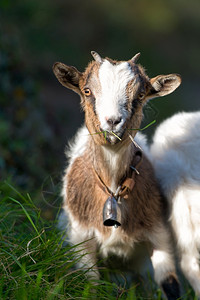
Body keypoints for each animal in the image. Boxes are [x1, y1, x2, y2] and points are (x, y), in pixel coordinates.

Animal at [52, 50, 181, 298]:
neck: (112, 189)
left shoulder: (159, 235)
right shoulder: (81, 238)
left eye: (140, 94)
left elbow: (170, 284)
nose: (112, 121)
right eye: (87, 90)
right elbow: (91, 285)